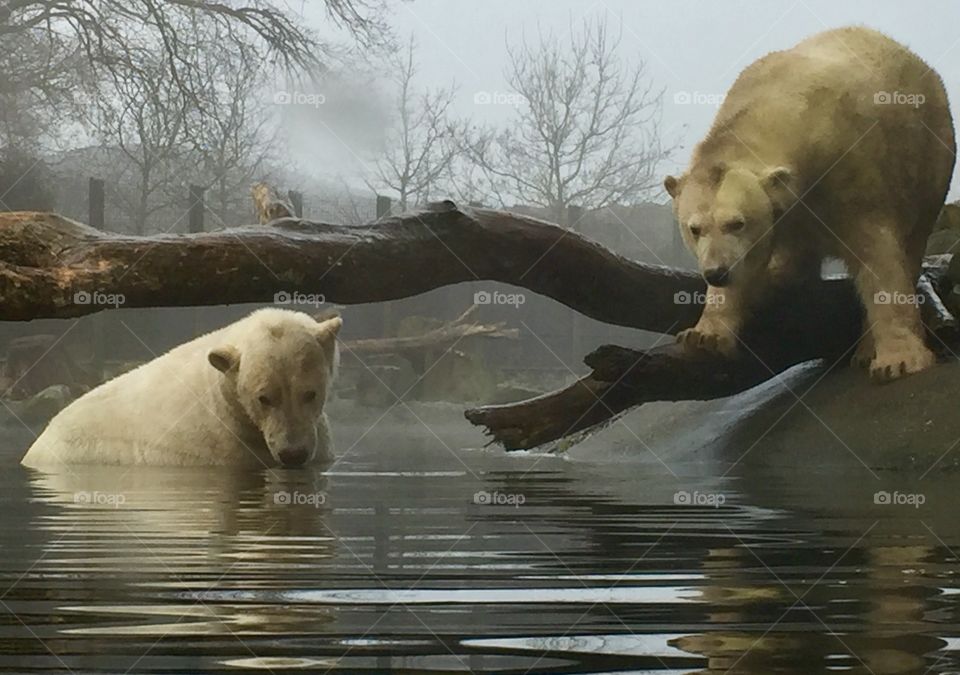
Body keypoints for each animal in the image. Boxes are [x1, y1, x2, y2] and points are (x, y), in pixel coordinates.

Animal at [668, 25, 952, 380]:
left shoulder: (850, 171)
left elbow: (878, 257)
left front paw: (898, 360)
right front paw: (703, 335)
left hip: (931, 155)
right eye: (694, 229)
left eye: (737, 223)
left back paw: (866, 350)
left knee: (912, 242)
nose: (716, 273)